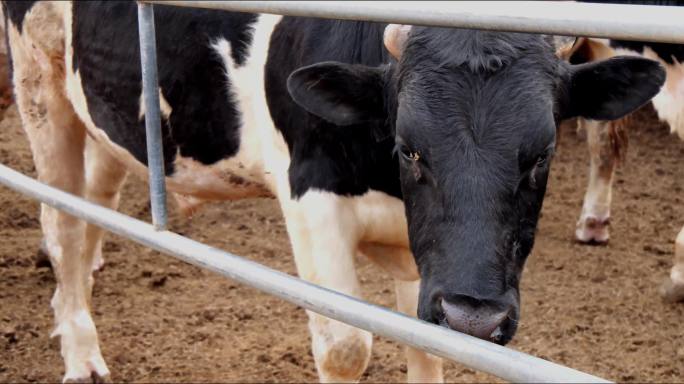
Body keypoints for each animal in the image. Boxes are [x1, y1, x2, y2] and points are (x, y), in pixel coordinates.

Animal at [0, 1, 664, 382]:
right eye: (408, 146)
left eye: (543, 154)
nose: (474, 317)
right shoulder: (312, 201)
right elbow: (346, 348)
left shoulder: (426, 261)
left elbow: (425, 345)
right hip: (39, 88)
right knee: (62, 225)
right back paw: (81, 353)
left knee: (94, 208)